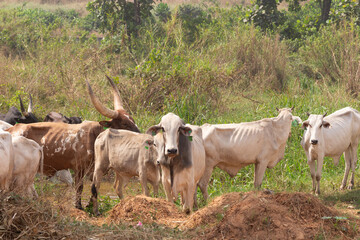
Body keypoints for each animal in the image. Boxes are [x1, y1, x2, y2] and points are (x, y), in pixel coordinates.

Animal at [7, 76, 139, 209]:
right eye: (124, 124)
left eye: (133, 120)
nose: (140, 134)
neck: (95, 136)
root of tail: (11, 129)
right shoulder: (79, 168)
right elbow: (80, 187)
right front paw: (78, 206)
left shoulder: (93, 169)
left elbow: (95, 187)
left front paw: (89, 205)